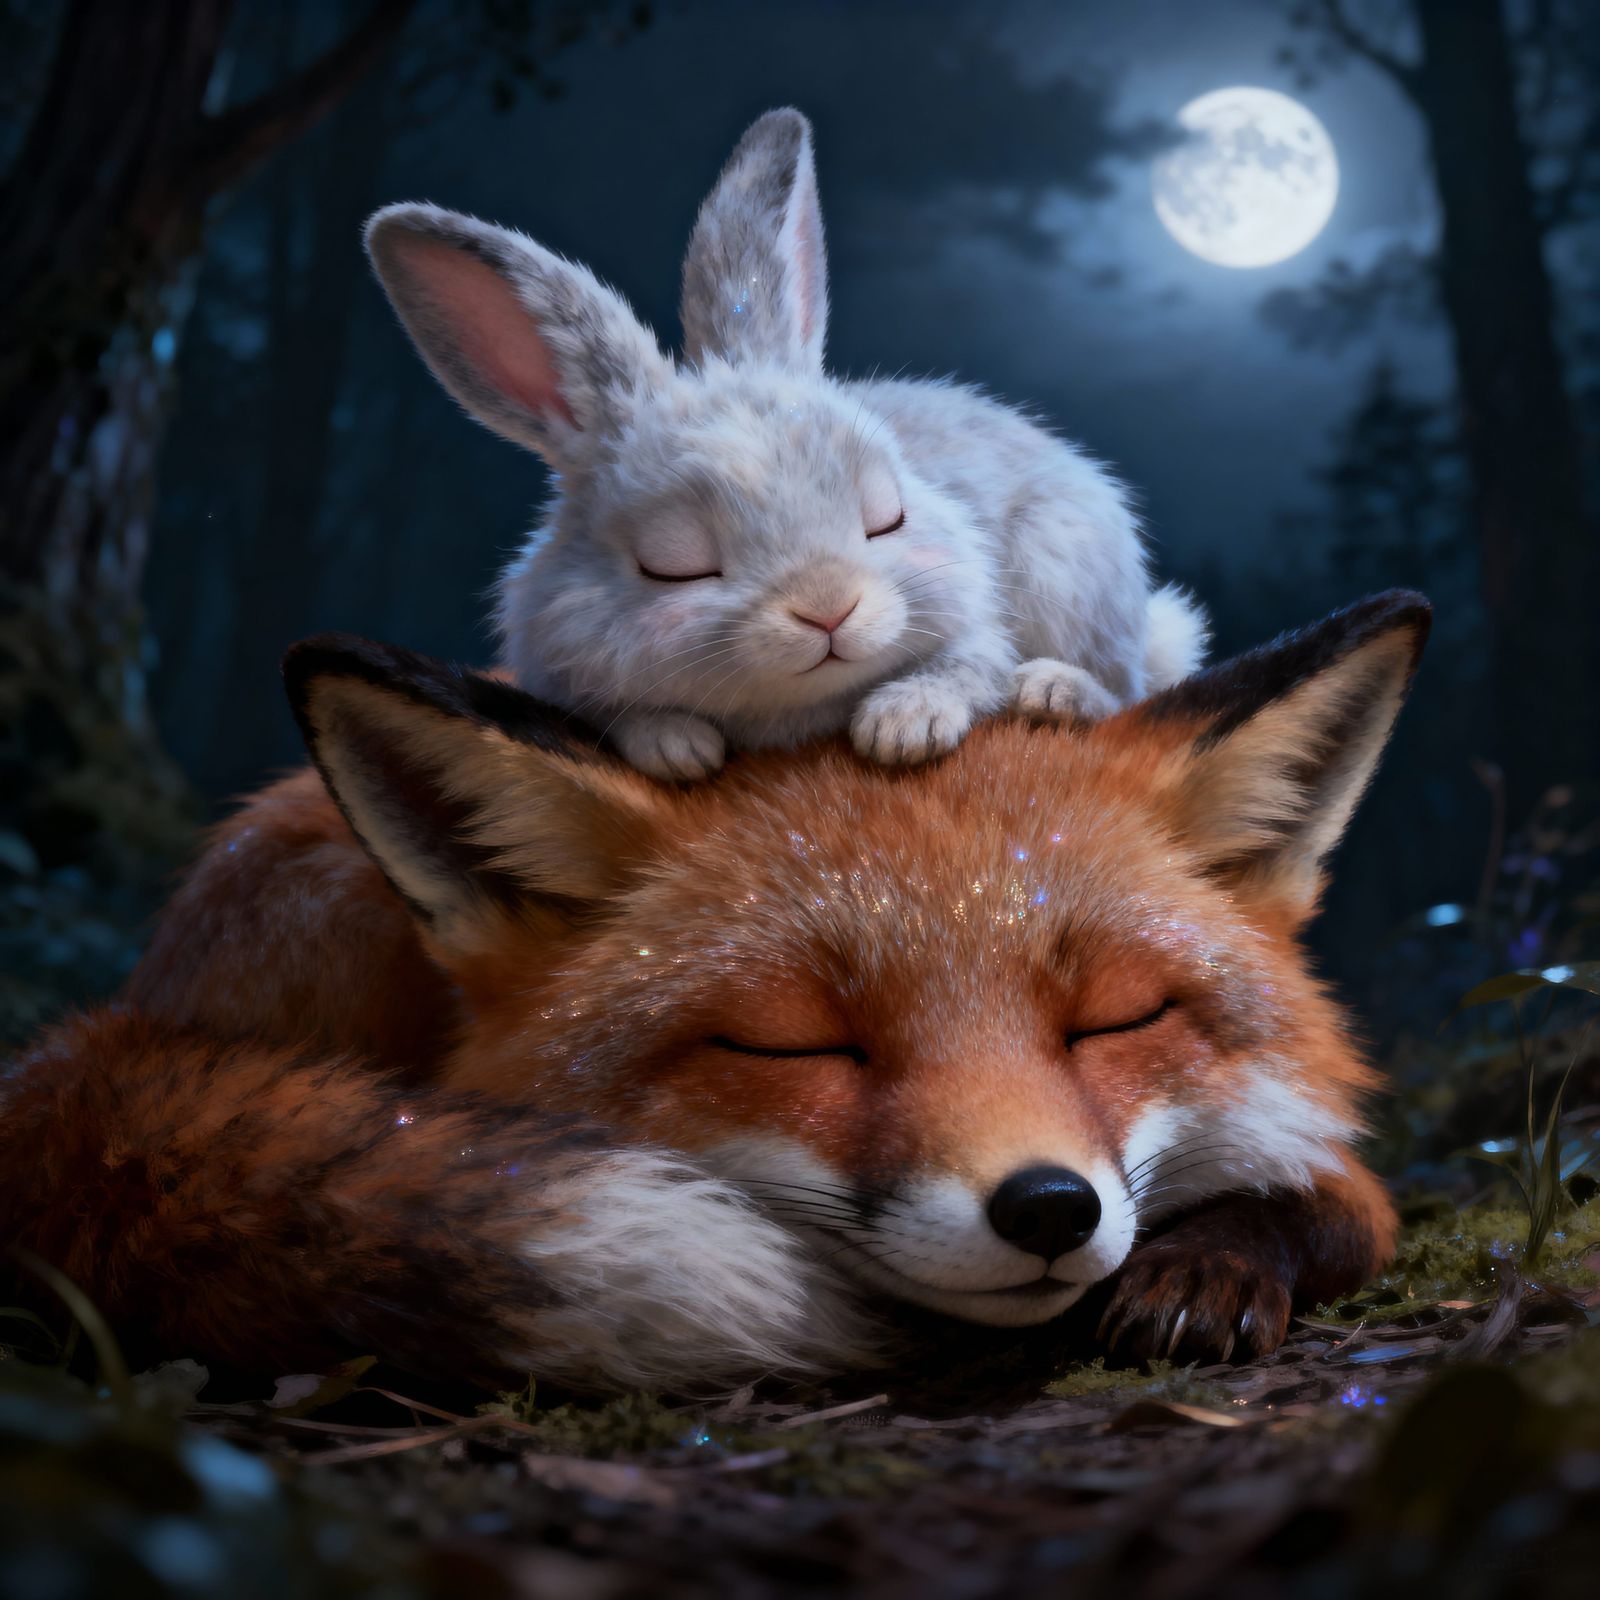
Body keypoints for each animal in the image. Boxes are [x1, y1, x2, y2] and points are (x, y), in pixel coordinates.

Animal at [0, 592, 1428, 1394]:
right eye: (795, 1045)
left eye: (1117, 1019)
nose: (1045, 1209)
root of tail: (124, 1018)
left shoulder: (1327, 1157)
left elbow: (1332, 1203)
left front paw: (1210, 1265)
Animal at [365, 108, 1207, 780]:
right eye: (671, 565)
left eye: (886, 518)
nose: (827, 610)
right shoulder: (559, 672)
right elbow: (615, 717)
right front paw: (679, 749)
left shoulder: (976, 625)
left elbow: (969, 666)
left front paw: (903, 727)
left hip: (1073, 566)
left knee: (1127, 684)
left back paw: (1053, 691)